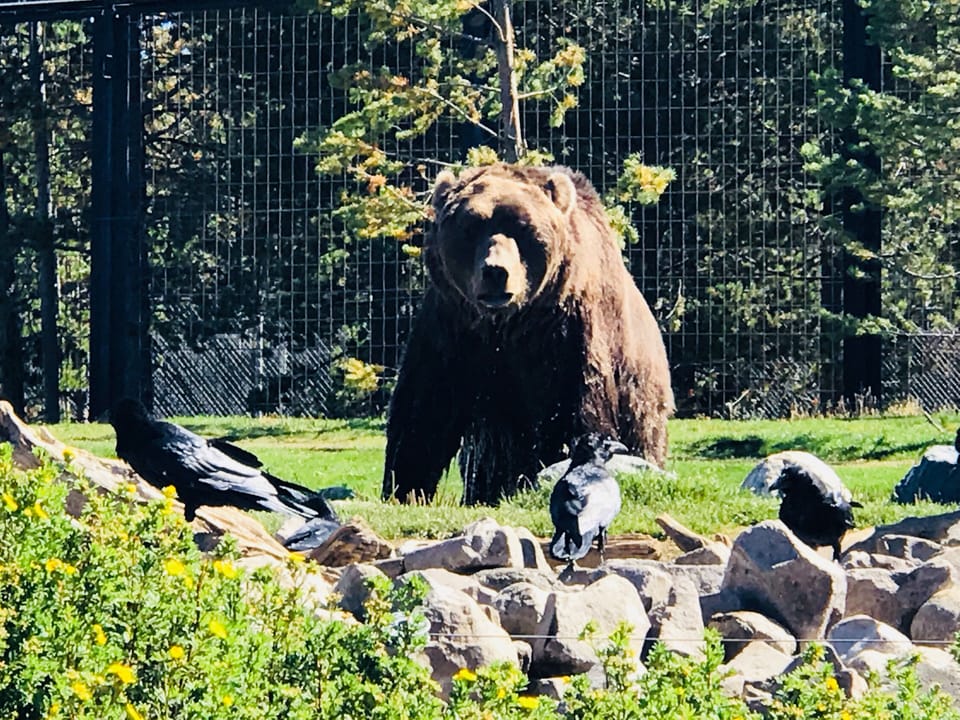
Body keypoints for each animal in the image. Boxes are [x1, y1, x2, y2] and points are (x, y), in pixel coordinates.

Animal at [382, 163, 674, 505]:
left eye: (523, 227)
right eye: (471, 226)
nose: (495, 271)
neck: (508, 324)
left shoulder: (569, 331)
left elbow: (576, 409)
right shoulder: (452, 325)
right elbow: (423, 411)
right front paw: (404, 487)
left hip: (641, 402)